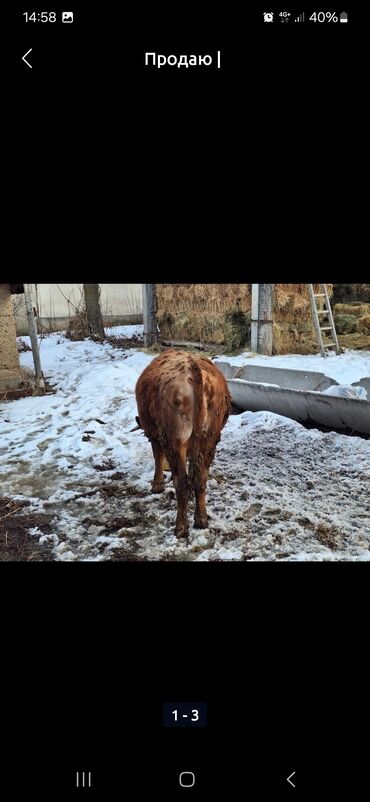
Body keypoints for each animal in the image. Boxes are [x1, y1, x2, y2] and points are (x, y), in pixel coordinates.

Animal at [134, 352, 230, 536]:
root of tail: (193, 367)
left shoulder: (154, 433)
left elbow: (157, 456)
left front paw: (157, 486)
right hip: (210, 437)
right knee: (201, 478)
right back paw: (201, 519)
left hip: (176, 440)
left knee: (182, 482)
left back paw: (181, 527)